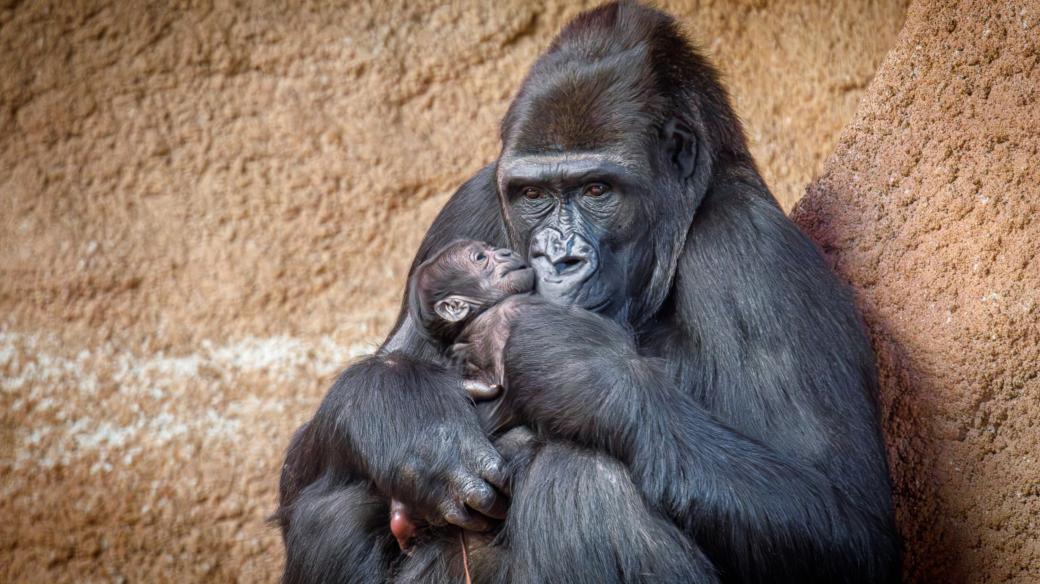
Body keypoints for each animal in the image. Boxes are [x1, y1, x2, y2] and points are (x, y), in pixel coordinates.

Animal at [276, 2, 902, 577]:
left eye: (598, 189)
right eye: (532, 195)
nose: (558, 256)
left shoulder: (754, 249)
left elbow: (846, 517)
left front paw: (576, 367)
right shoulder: (469, 203)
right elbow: (304, 469)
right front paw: (409, 416)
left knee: (587, 483)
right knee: (332, 502)